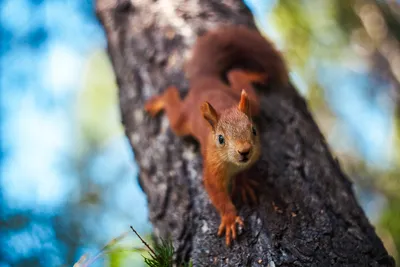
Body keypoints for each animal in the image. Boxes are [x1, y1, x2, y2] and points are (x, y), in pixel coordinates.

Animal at [144, 24, 288, 247]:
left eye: (254, 130)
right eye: (220, 139)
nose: (245, 151)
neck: (231, 164)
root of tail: (205, 81)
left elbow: (243, 174)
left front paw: (243, 183)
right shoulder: (211, 170)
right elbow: (217, 195)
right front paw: (229, 218)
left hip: (248, 101)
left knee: (236, 75)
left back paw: (254, 75)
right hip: (181, 121)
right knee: (172, 98)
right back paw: (159, 101)